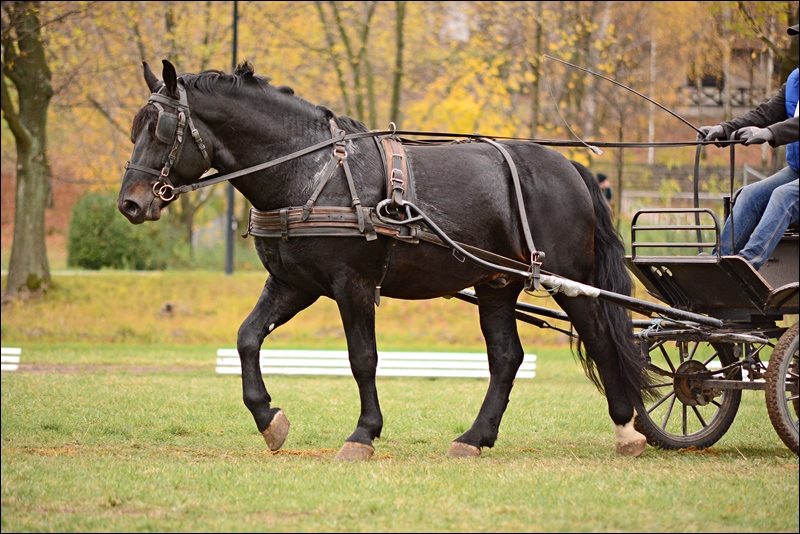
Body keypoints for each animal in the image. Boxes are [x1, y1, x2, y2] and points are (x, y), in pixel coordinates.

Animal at [120, 58, 656, 460]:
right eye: (134, 130)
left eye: (162, 130)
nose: (130, 203)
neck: (312, 169)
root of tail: (569, 164)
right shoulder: (294, 283)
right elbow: (247, 337)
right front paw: (269, 419)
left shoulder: (352, 284)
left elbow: (363, 358)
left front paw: (363, 434)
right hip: (496, 284)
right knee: (507, 358)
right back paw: (474, 438)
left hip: (569, 279)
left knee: (602, 339)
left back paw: (627, 430)